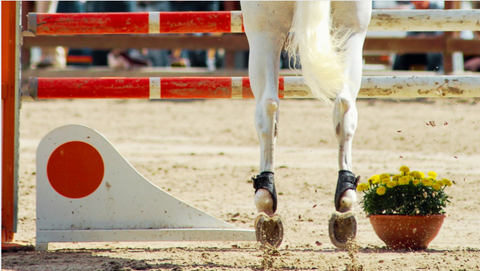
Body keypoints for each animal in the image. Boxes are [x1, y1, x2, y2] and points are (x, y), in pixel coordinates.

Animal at [242, 1, 374, 249]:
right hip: (352, 27)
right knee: (344, 103)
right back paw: (345, 204)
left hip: (263, 28)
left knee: (267, 107)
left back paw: (265, 204)